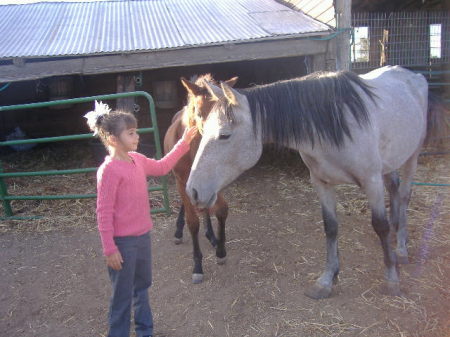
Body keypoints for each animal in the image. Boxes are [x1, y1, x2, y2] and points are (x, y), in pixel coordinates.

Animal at [163, 74, 239, 284]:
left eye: (226, 112)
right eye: (198, 110)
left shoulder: (213, 183)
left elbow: (221, 210)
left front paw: (221, 251)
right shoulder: (183, 182)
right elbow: (192, 222)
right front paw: (197, 266)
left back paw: (211, 236)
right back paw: (179, 231)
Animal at [186, 65, 446, 296]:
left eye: (224, 135)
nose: (193, 191)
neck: (335, 124)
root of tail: (413, 76)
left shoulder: (371, 181)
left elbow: (379, 225)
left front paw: (391, 279)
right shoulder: (321, 183)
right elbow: (330, 227)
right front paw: (326, 280)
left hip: (412, 157)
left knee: (404, 196)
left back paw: (400, 248)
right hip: (390, 162)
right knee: (394, 189)